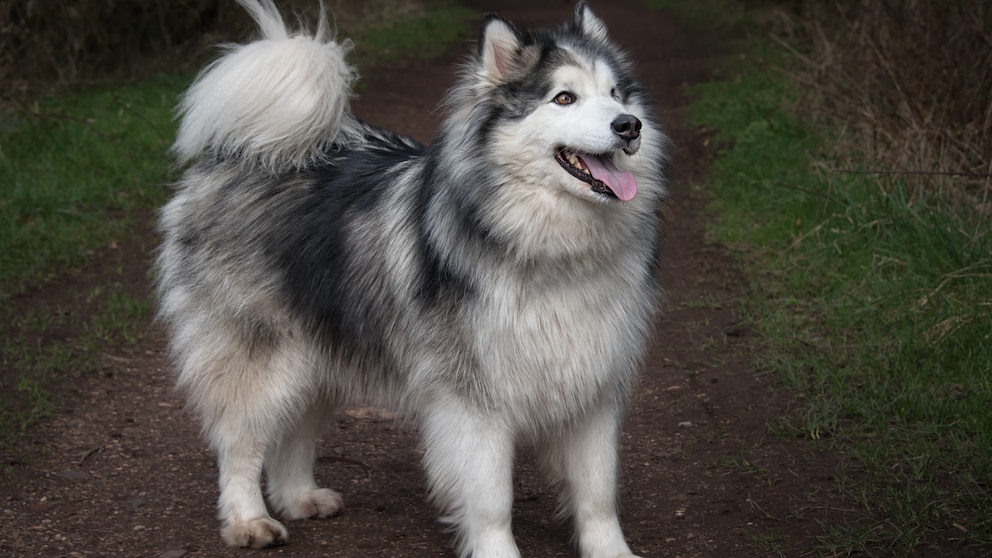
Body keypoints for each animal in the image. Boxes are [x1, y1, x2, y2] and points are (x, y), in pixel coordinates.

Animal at [157, 2, 668, 556]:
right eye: (564, 97)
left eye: (616, 94)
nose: (629, 125)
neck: (547, 246)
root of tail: (248, 149)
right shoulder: (473, 399)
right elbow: (492, 498)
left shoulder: (593, 388)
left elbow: (598, 492)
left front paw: (611, 550)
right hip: (264, 357)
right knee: (240, 442)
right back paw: (249, 519)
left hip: (319, 354)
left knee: (295, 433)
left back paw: (299, 497)